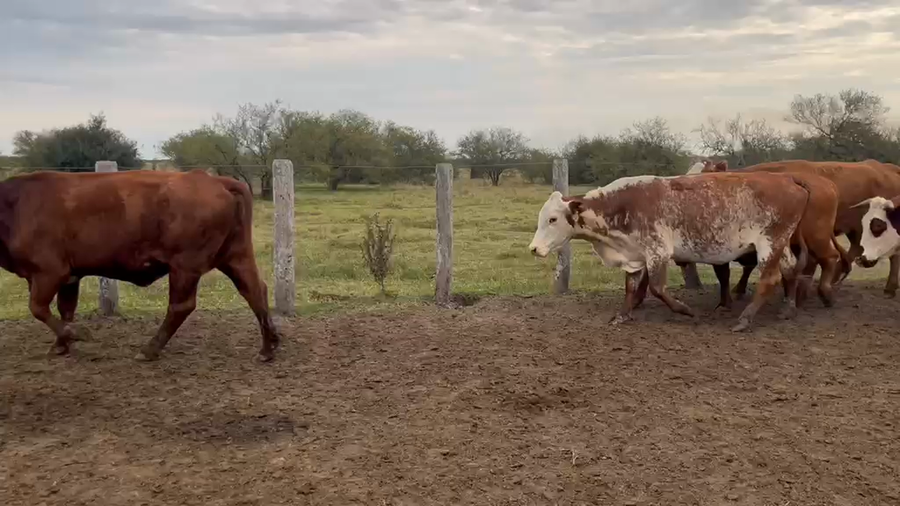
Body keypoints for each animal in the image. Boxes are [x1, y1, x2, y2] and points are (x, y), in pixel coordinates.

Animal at [0, 169, 280, 362]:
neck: (15, 204)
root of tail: (213, 180)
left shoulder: (50, 272)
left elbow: (38, 308)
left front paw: (77, 334)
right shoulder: (70, 276)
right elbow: (64, 308)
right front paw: (61, 344)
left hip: (184, 267)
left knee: (181, 306)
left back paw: (149, 349)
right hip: (235, 257)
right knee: (255, 290)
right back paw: (268, 347)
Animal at [528, 171, 814, 331]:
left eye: (553, 219)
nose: (534, 248)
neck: (620, 207)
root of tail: (788, 179)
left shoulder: (657, 252)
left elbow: (657, 289)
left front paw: (686, 311)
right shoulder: (634, 255)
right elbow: (631, 288)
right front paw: (622, 316)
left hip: (770, 243)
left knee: (770, 279)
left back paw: (744, 320)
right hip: (781, 244)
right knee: (790, 269)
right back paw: (788, 309)